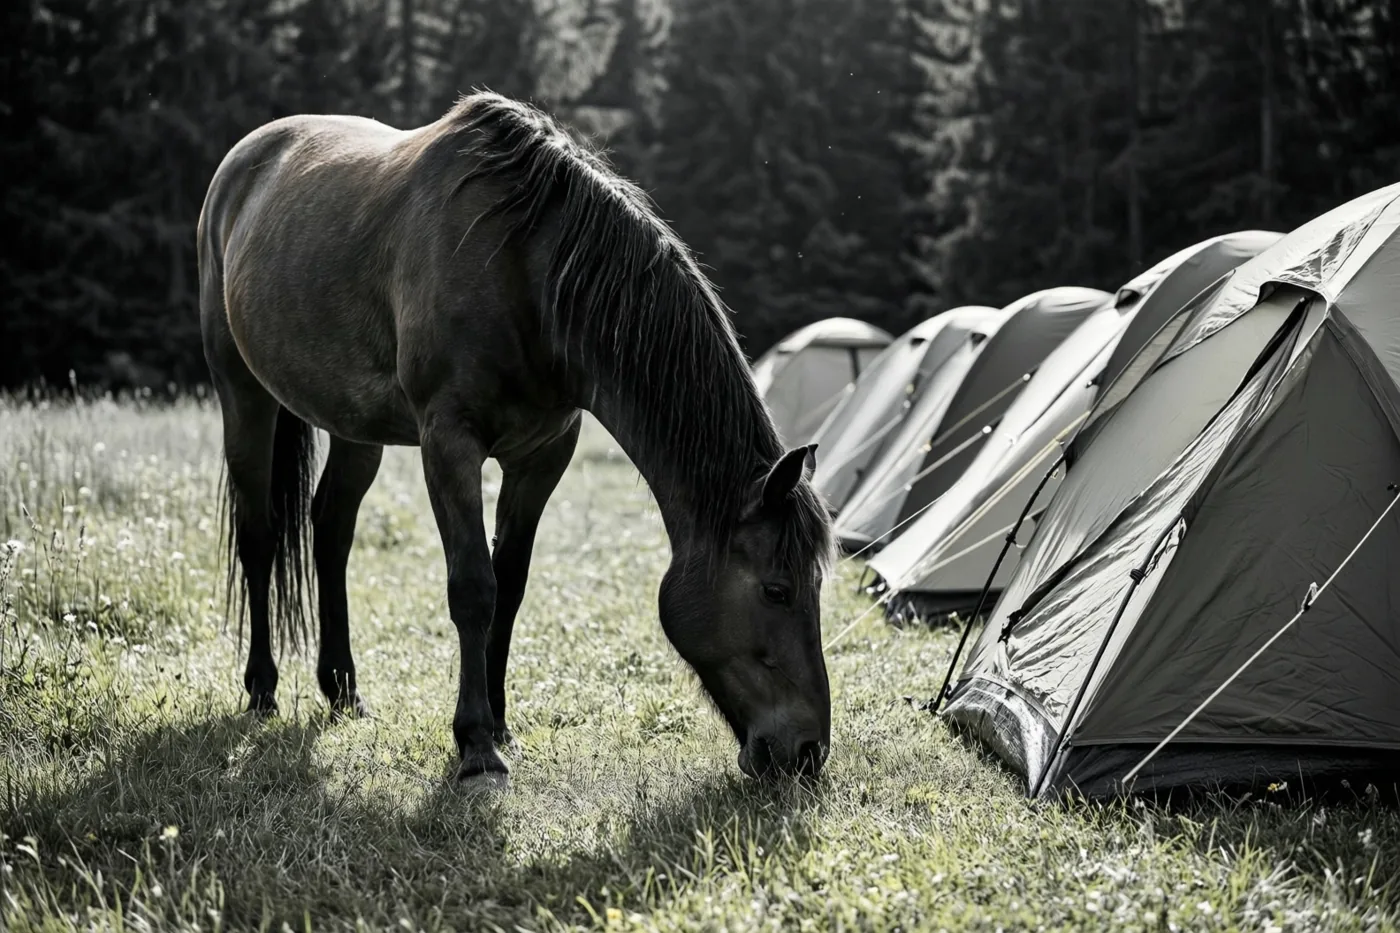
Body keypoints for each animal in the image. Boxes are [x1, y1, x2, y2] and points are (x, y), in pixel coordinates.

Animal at [196, 91, 835, 784]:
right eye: (777, 589)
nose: (808, 750)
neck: (524, 271)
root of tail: (242, 162)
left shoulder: (542, 457)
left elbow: (511, 586)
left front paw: (500, 724)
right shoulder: (449, 444)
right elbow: (474, 587)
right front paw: (476, 744)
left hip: (354, 426)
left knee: (330, 529)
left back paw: (343, 690)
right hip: (243, 395)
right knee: (259, 538)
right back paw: (261, 689)